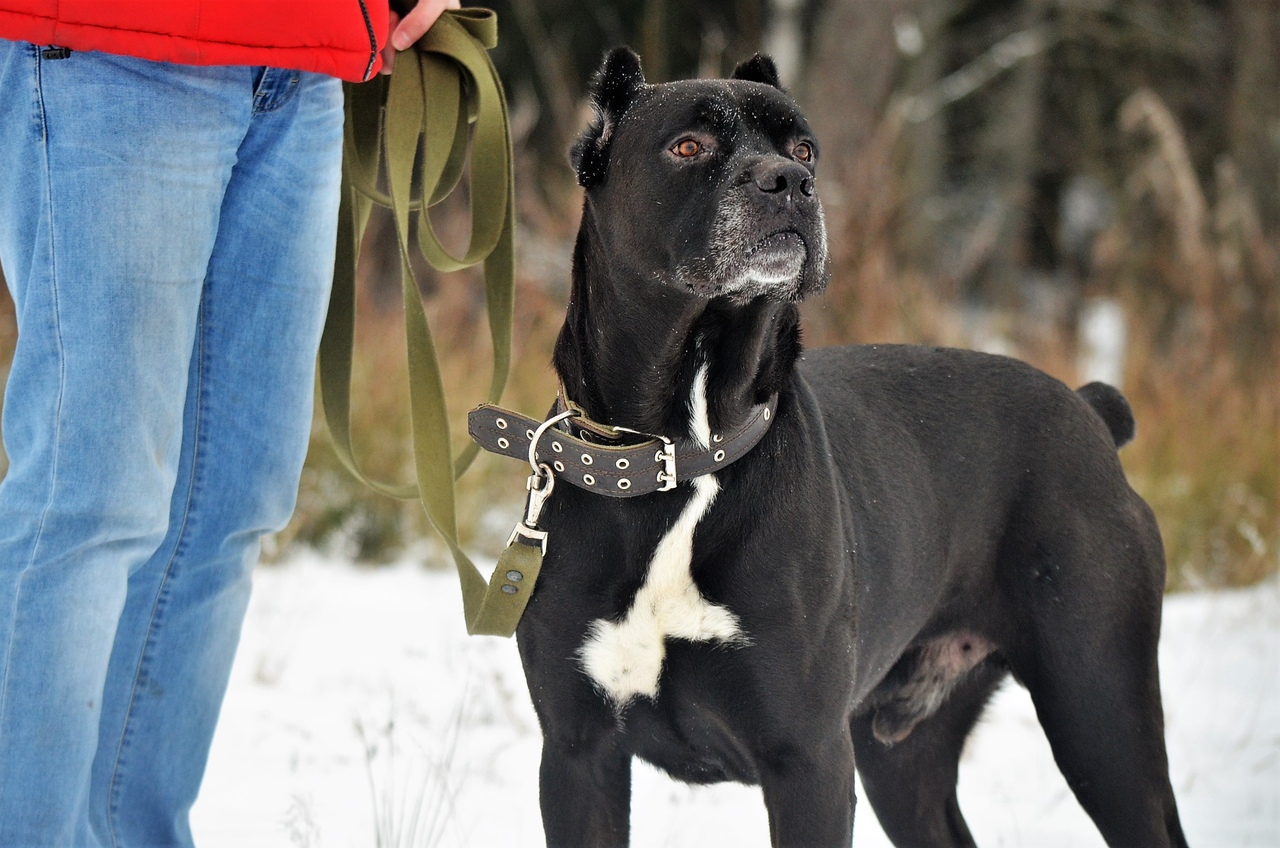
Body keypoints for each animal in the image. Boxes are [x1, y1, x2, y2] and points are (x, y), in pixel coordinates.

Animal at [504, 49, 1182, 845]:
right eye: (688, 146)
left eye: (804, 151)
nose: (789, 183)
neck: (680, 449)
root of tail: (1090, 413)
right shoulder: (578, 753)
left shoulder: (809, 762)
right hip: (904, 755)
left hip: (1100, 709)